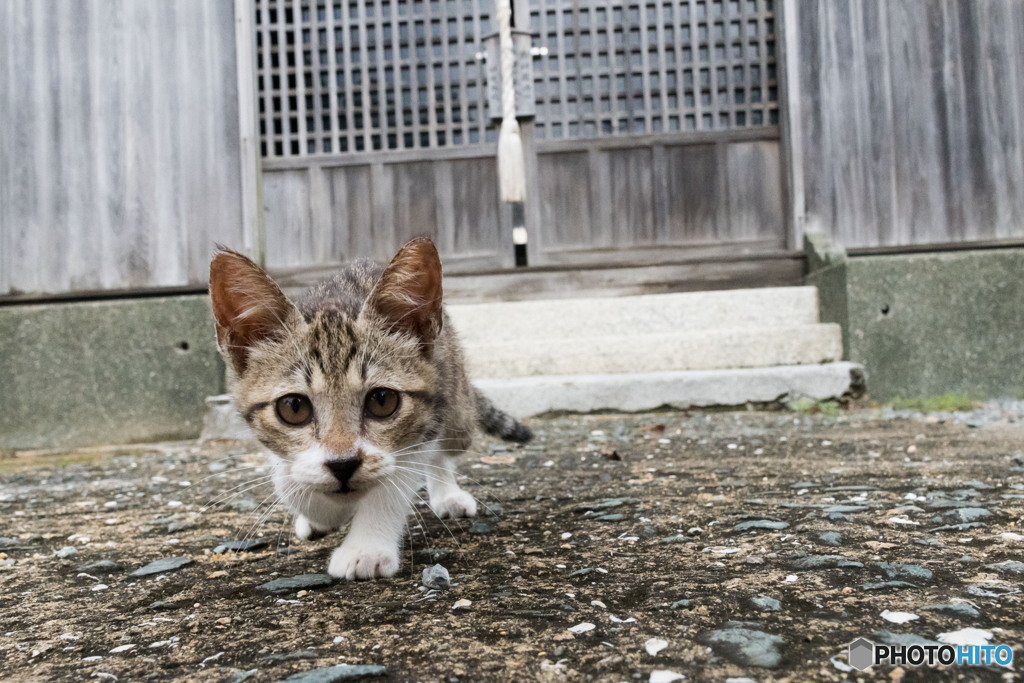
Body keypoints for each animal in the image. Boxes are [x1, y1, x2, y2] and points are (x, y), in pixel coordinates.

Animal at [206, 237, 528, 581]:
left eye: (382, 400)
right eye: (293, 407)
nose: (343, 465)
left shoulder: (420, 429)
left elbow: (393, 485)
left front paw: (366, 548)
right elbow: (287, 480)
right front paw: (320, 512)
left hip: (456, 406)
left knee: (445, 448)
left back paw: (447, 494)